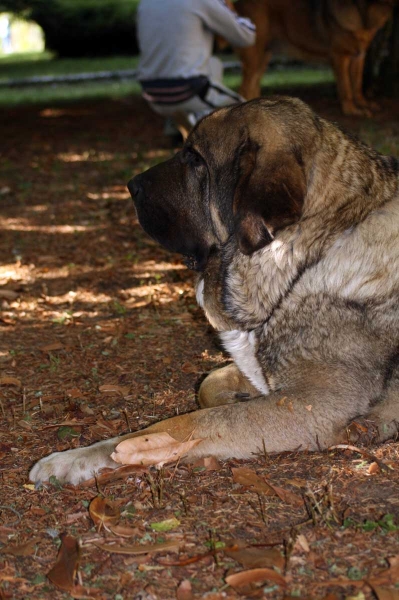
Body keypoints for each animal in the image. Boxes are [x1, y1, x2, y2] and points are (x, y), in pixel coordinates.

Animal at [30, 96, 399, 486]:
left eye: (195, 159)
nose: (131, 185)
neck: (304, 254)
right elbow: (209, 383)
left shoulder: (314, 403)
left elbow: (183, 424)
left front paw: (74, 458)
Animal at [236, 0, 396, 115]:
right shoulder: (339, 55)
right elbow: (346, 87)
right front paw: (351, 110)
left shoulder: (359, 56)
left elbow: (356, 84)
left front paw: (363, 104)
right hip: (255, 53)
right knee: (245, 88)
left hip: (264, 55)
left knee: (254, 85)